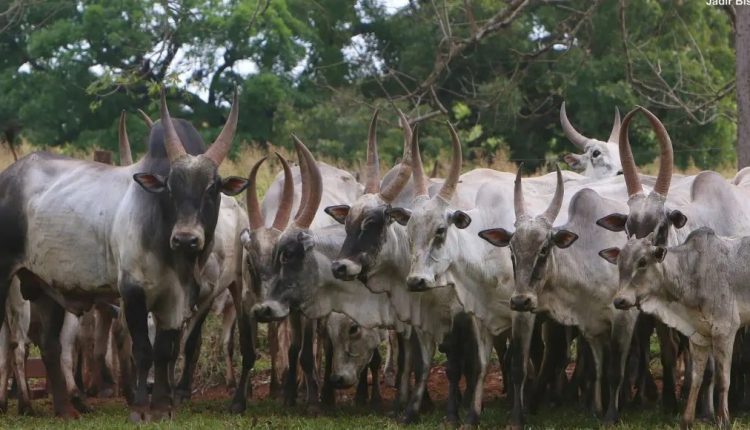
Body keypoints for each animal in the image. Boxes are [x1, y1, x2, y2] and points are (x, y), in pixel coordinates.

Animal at [0, 90, 250, 420]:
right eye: (169, 187)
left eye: (211, 189)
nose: (186, 239)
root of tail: (8, 177)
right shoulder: (132, 291)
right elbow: (142, 350)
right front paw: (140, 409)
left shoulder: (177, 299)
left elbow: (165, 350)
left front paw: (161, 408)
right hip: (4, 274)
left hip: (45, 285)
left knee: (50, 344)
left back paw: (66, 410)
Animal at [604, 228, 750, 426]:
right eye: (619, 263)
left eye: (642, 262)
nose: (619, 301)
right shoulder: (698, 337)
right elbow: (696, 378)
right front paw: (687, 420)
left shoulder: (725, 331)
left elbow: (722, 379)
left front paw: (723, 420)